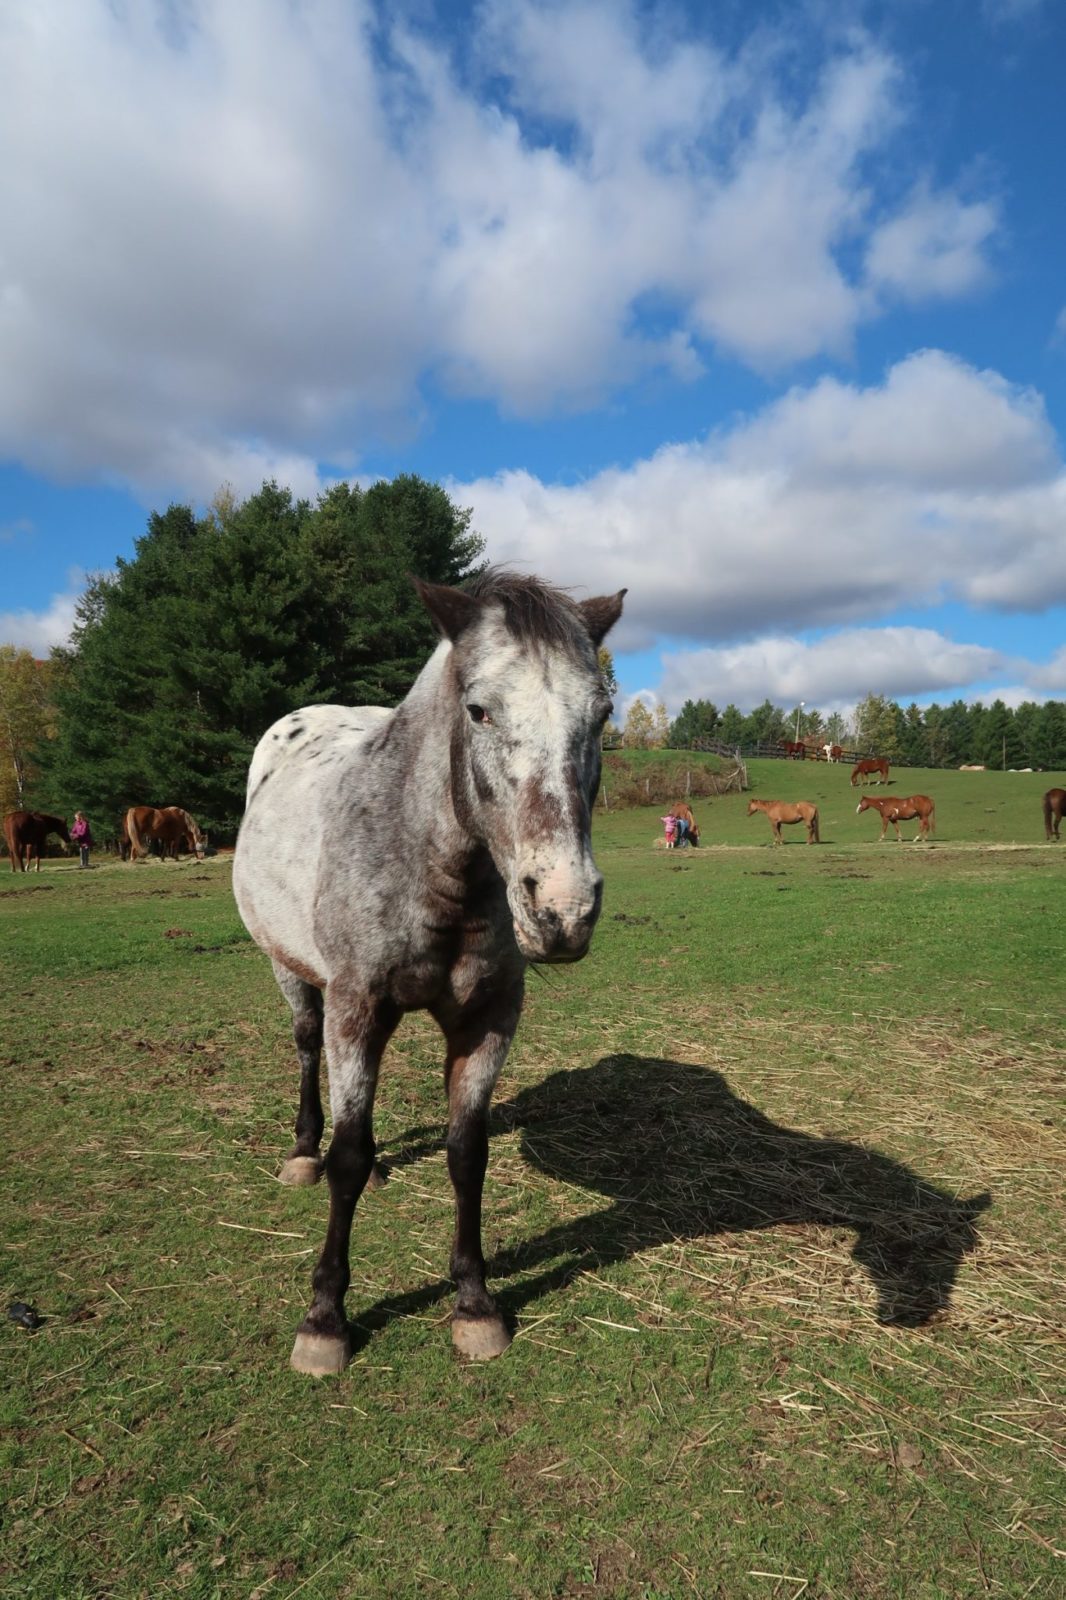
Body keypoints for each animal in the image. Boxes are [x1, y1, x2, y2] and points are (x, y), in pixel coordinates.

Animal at [232, 566, 624, 1376]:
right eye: (479, 709)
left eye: (601, 714)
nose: (563, 909)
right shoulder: (355, 1007)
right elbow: (348, 1156)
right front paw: (325, 1319)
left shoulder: (487, 1019)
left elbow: (466, 1153)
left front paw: (474, 1304)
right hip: (292, 973)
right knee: (307, 1047)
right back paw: (301, 1151)